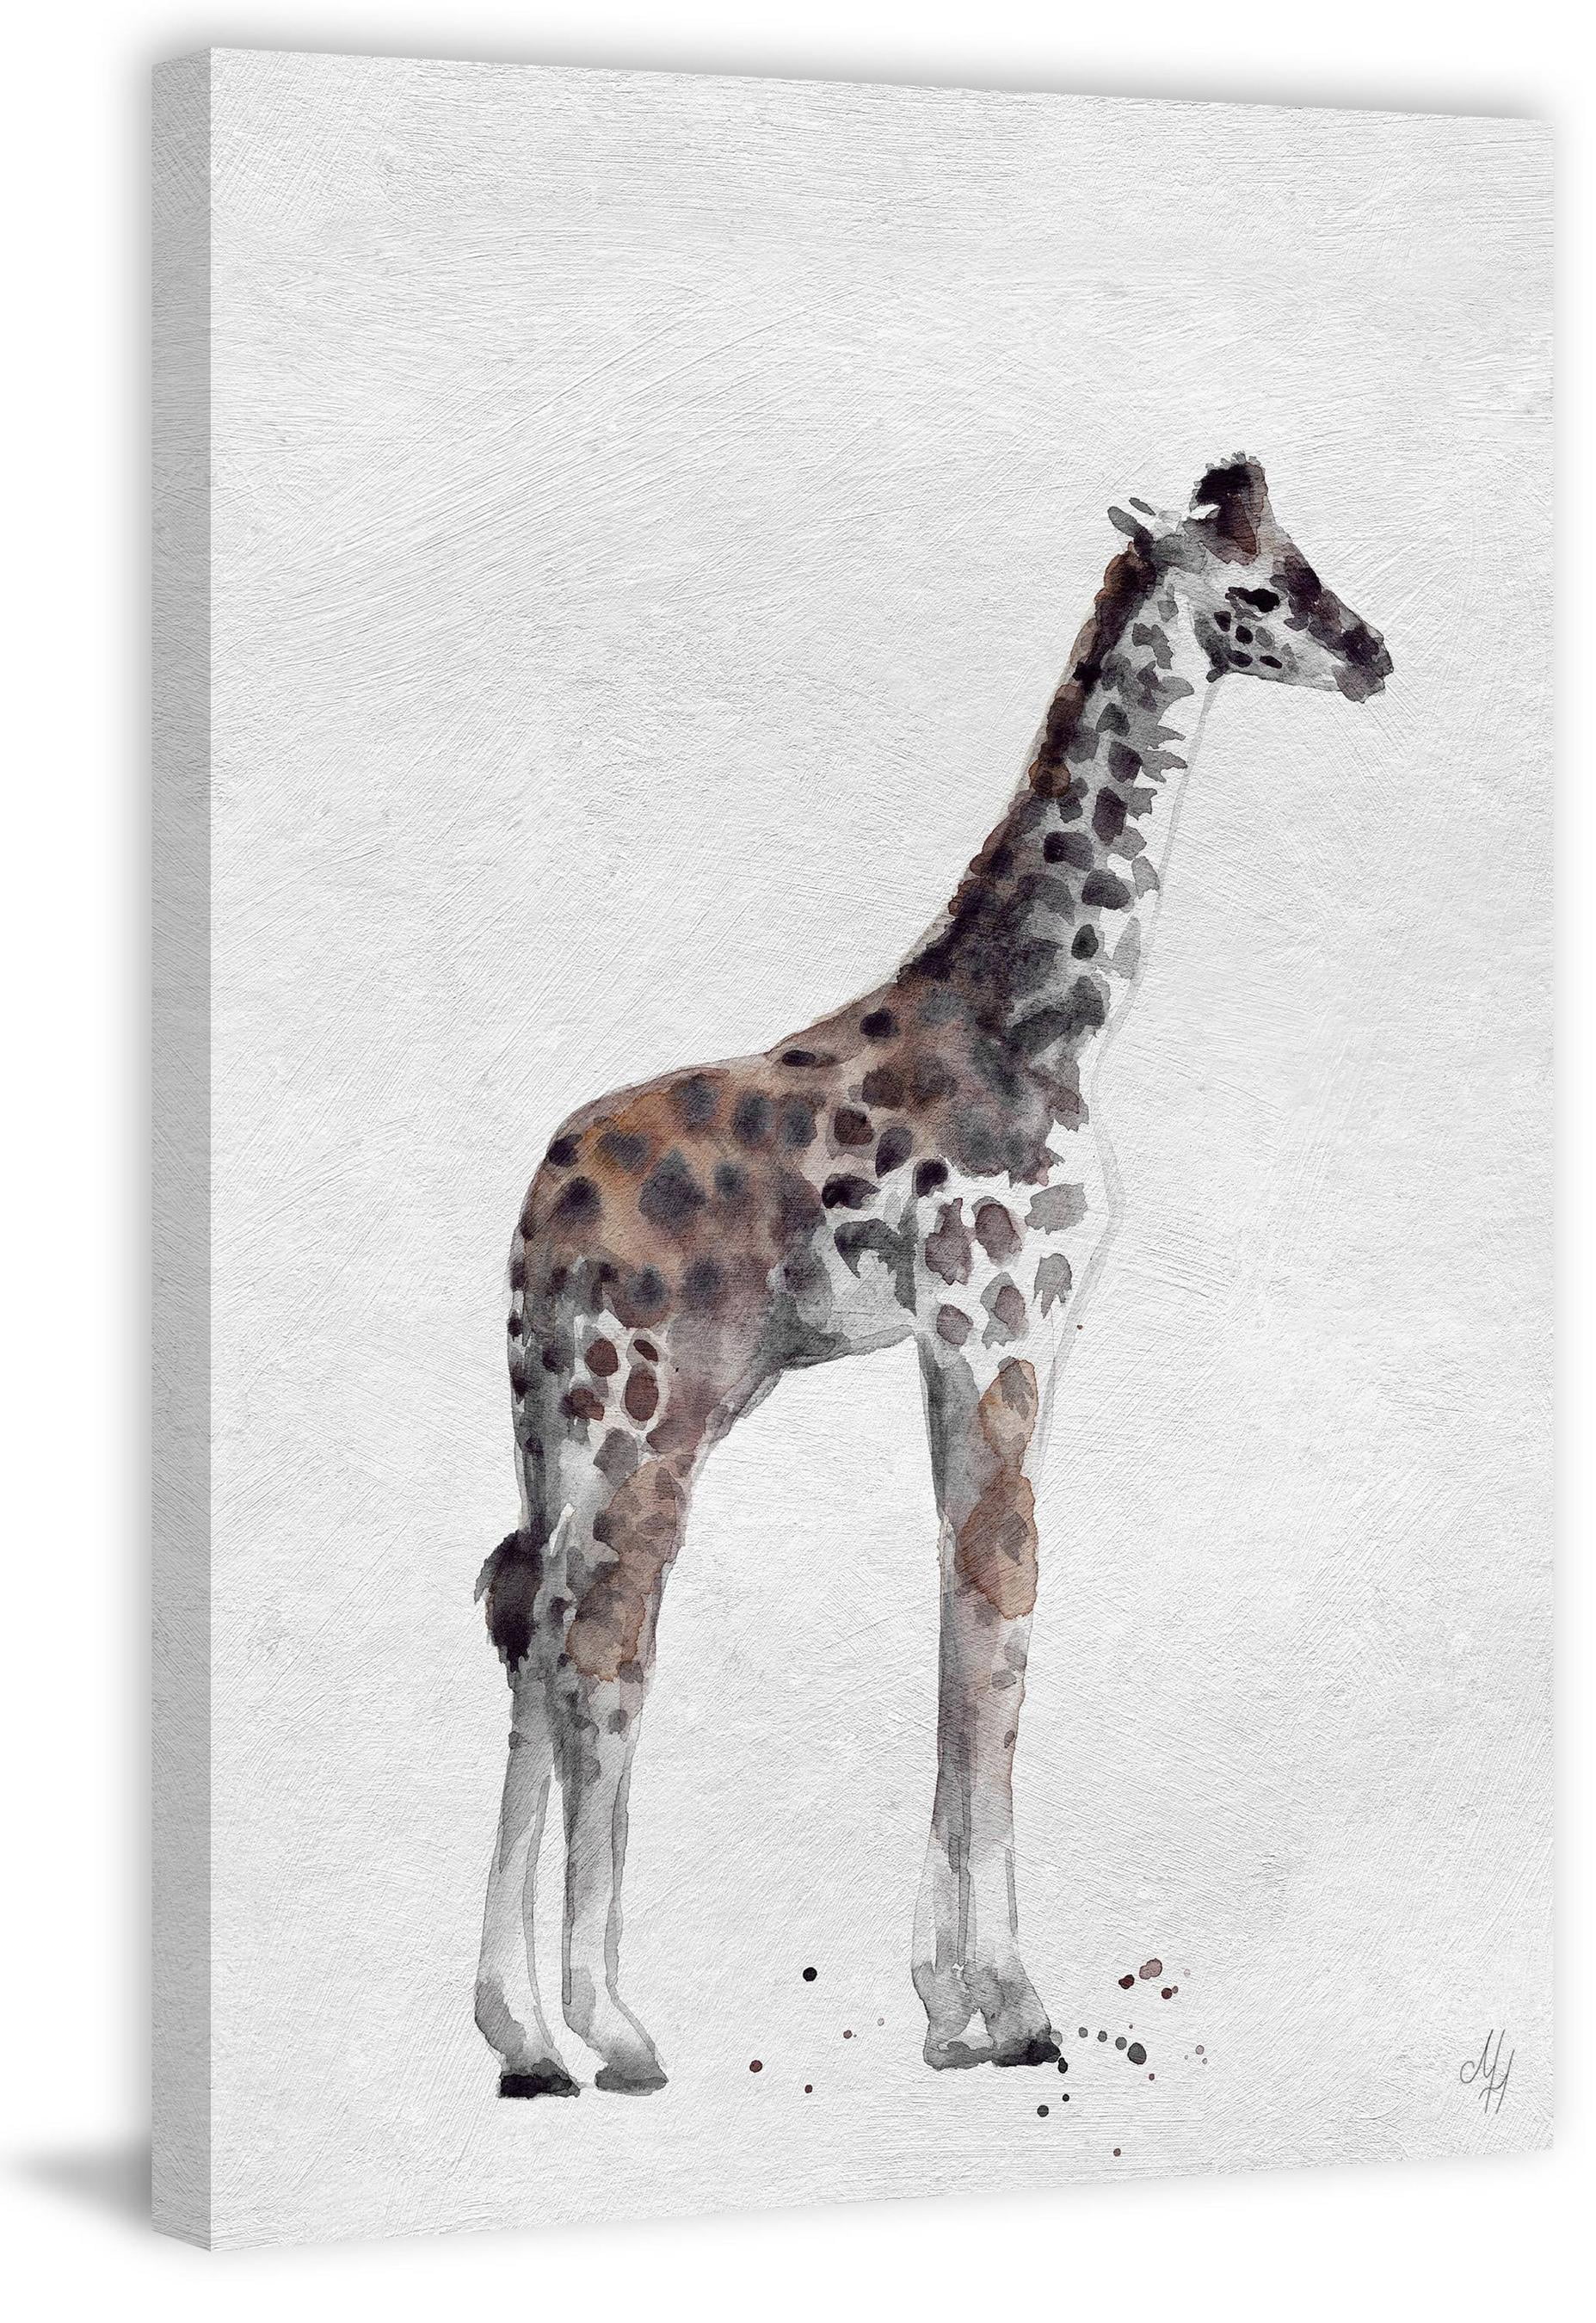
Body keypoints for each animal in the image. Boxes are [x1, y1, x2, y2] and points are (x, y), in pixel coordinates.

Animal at [474, 454, 1392, 2097]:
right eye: (1261, 590)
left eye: (1302, 557)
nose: (1374, 654)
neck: (1049, 1024)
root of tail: (537, 1213)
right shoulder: (999, 1324)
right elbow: (999, 1603)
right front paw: (1010, 2004)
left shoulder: (970, 1347)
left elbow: (967, 1599)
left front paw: (946, 2005)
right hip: (651, 1417)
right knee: (604, 1644)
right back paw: (610, 2032)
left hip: (569, 1425)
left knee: (534, 1620)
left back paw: (525, 2036)